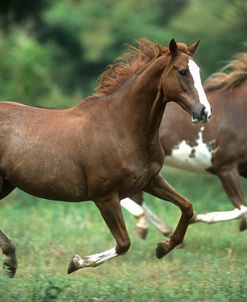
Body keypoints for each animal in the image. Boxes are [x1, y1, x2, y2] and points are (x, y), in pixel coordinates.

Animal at [0, 37, 211, 276]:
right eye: (183, 71)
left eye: (199, 71)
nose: (204, 112)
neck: (120, 126)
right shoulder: (105, 197)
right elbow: (124, 243)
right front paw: (75, 262)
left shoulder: (150, 180)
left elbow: (187, 207)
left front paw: (163, 248)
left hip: (6, 184)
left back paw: (11, 259)